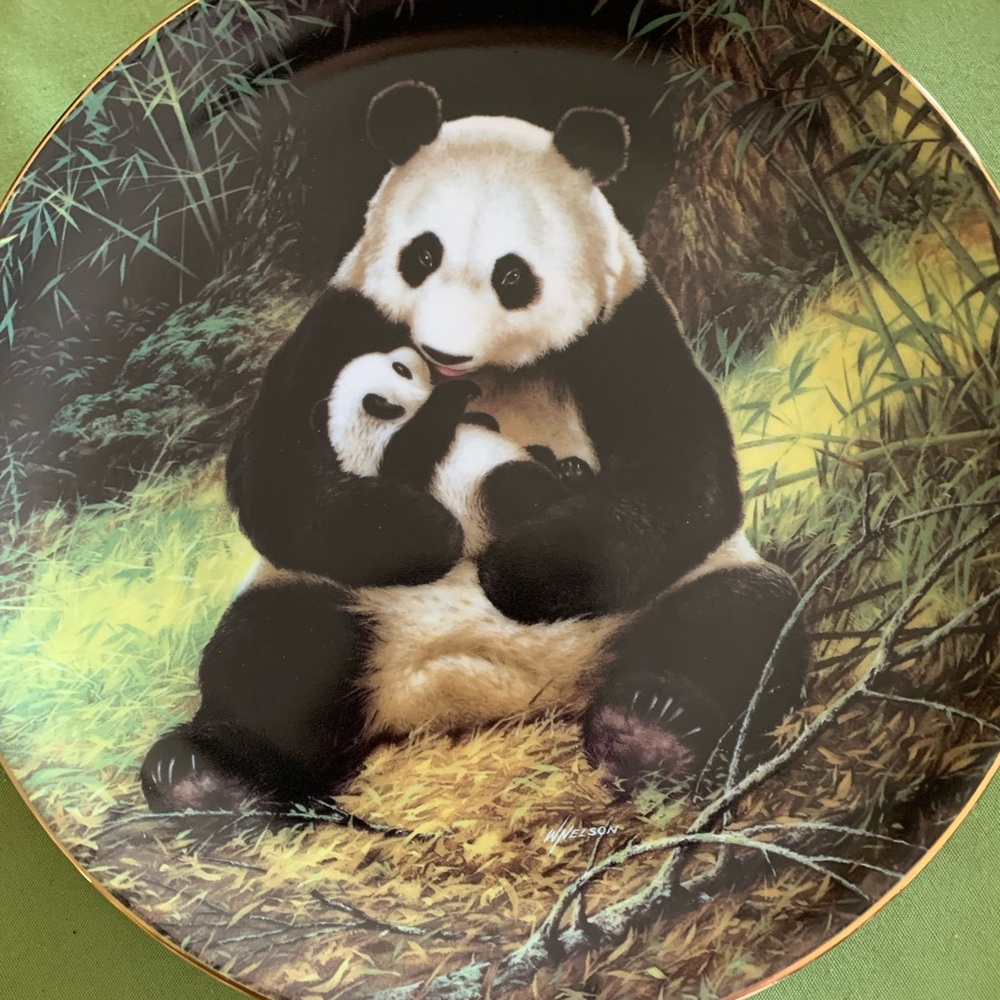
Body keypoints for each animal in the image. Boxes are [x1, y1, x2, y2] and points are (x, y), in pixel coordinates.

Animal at [140, 82, 808, 813]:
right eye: (421, 255)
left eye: (512, 276)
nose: (443, 352)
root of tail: (475, 689)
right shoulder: (345, 319)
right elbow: (275, 473)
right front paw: (420, 527)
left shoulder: (622, 329)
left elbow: (686, 473)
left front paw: (517, 570)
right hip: (340, 600)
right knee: (272, 652)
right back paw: (206, 775)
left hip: (667, 595)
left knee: (734, 621)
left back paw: (651, 728)